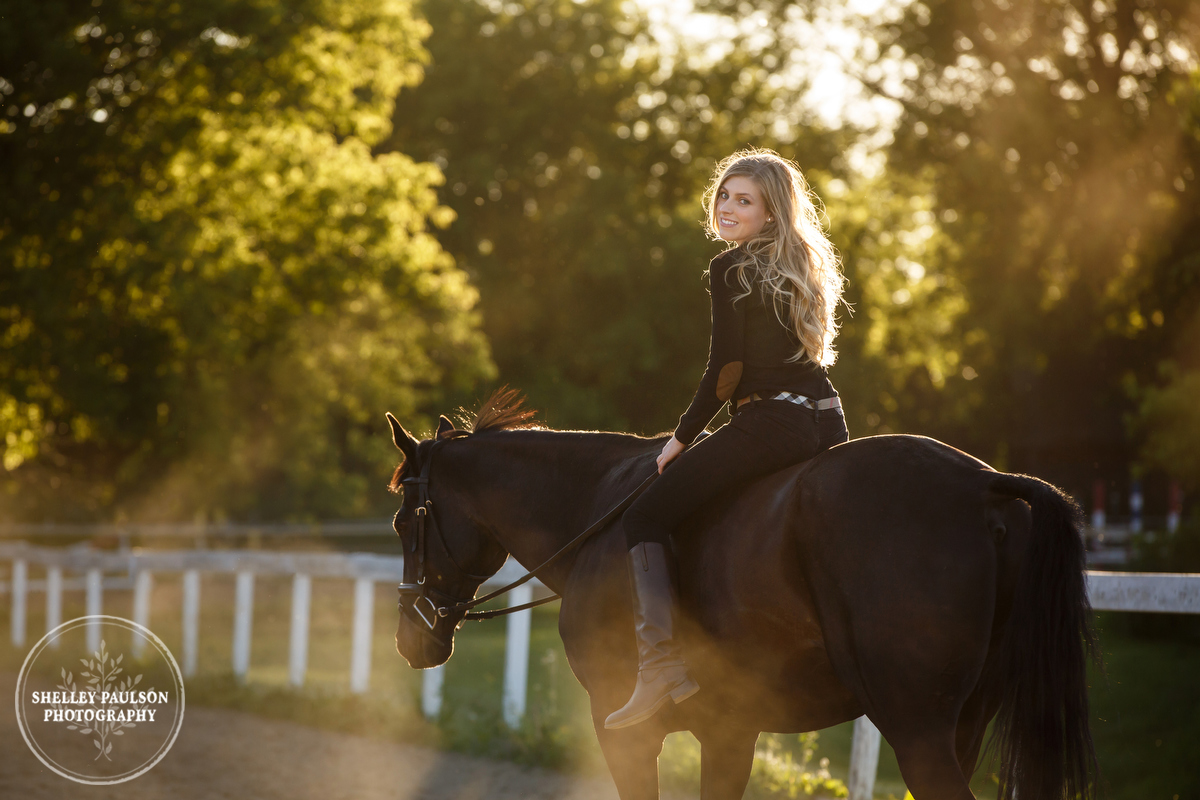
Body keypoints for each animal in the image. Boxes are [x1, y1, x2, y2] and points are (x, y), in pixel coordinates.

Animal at [384, 391, 1099, 796]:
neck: (598, 516)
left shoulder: (622, 729)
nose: (410, 637)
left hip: (917, 728)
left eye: (400, 521)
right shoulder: (731, 730)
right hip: (960, 726)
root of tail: (982, 485)